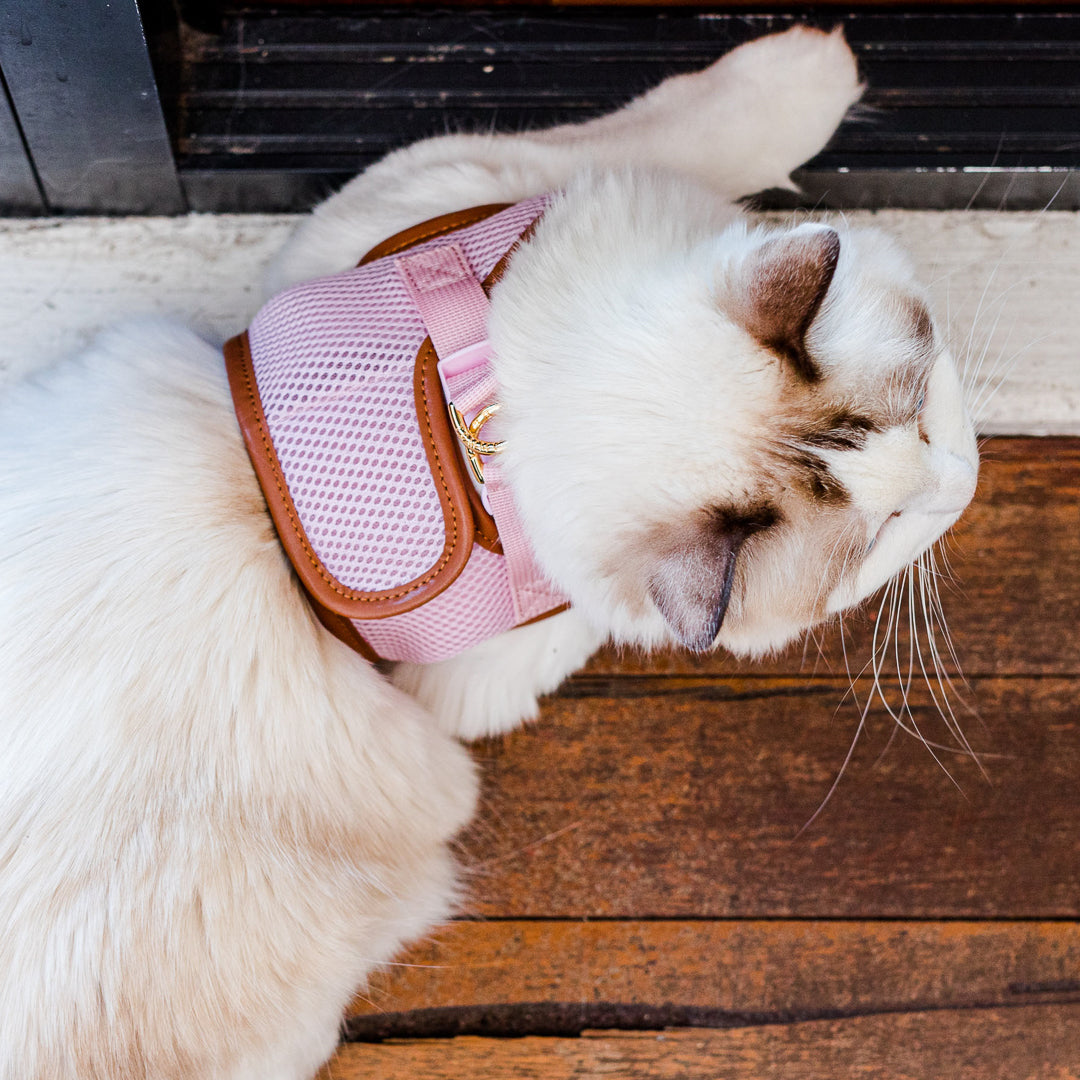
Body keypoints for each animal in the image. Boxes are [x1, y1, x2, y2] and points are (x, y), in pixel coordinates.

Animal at [0, 25, 980, 1080]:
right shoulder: (485, 673)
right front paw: (817, 70)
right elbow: (663, 132)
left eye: (924, 413)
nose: (963, 480)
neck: (490, 441)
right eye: (888, 530)